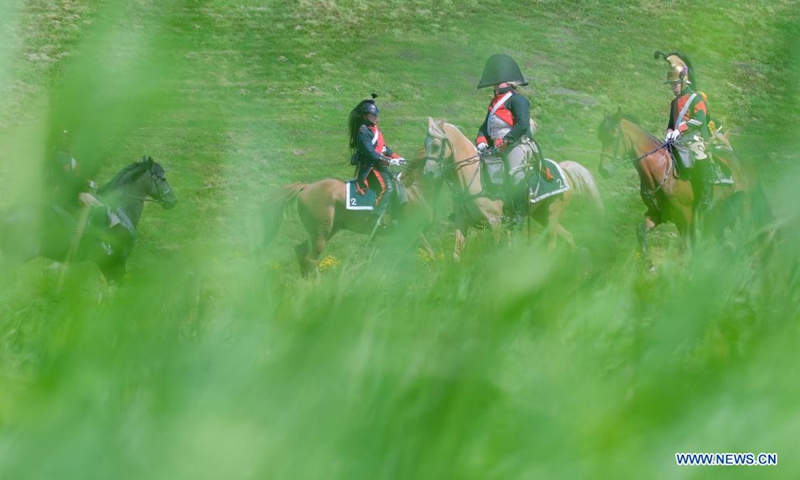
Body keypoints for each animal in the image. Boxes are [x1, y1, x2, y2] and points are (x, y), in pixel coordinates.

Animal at [264, 148, 444, 276]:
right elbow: (431, 256)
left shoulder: (411, 238)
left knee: (302, 252)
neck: (416, 189)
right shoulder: (416, 233)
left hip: (324, 232)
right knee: (311, 259)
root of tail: (307, 187)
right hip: (321, 234)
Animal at [424, 116, 600, 260]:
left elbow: (497, 253)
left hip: (552, 214)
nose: (428, 173)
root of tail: (562, 170)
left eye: (436, 145)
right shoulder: (462, 221)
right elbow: (456, 256)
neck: (474, 178)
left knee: (553, 243)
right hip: (542, 216)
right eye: (425, 145)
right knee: (568, 237)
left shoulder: (494, 222)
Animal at [596, 109, 772, 258]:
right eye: (600, 138)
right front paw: (648, 264)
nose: (604, 170)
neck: (661, 170)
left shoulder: (685, 218)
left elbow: (689, 247)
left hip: (743, 213)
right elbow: (642, 233)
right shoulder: (657, 214)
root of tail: (747, 165)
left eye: (613, 136)